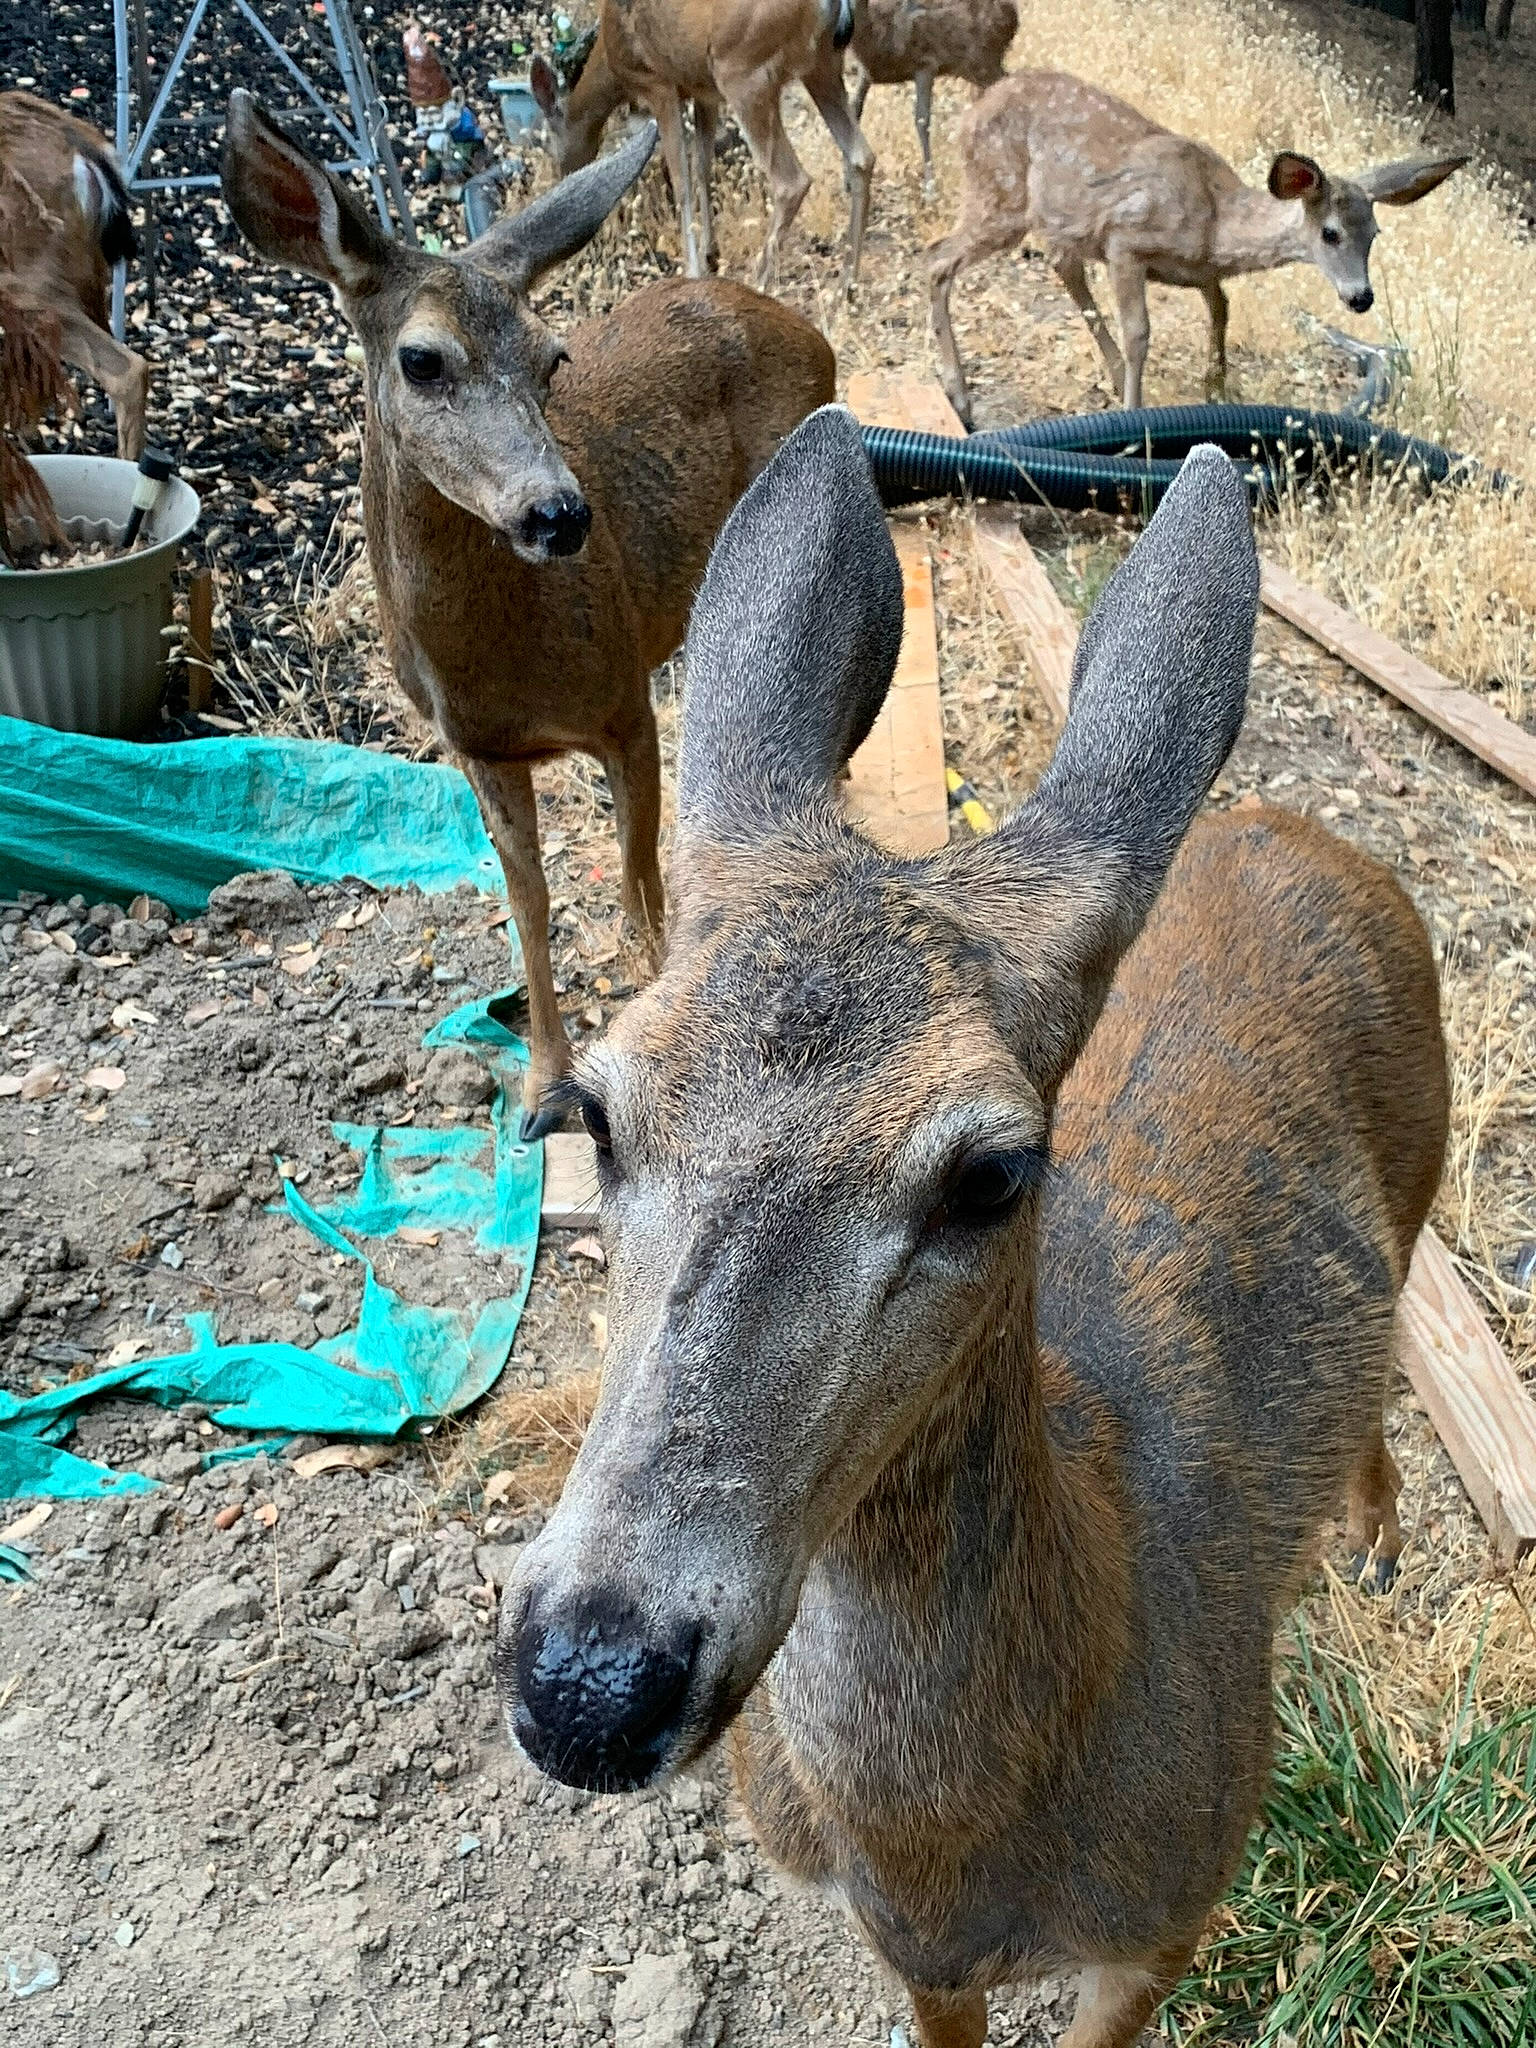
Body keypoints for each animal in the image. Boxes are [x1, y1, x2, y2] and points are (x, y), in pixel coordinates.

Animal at [220, 91, 835, 1130]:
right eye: (422, 360)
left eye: (553, 360)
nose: (558, 513)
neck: (503, 661)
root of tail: (809, 332)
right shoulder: (477, 748)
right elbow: (532, 906)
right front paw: (543, 1089)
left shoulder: (624, 704)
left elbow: (638, 881)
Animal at [494, 409, 1450, 2047]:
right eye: (595, 1112)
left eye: (993, 1172)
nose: (590, 1683)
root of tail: (1290, 823)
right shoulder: (915, 1959)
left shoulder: (1177, 1901)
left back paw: (1376, 1544)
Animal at [528, 0, 874, 290]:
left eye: (549, 146)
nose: (563, 176)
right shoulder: (703, 91)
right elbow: (703, 166)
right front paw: (711, 254)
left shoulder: (657, 83)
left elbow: (681, 180)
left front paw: (692, 269)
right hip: (822, 65)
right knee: (862, 156)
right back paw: (847, 283)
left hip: (743, 71)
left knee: (791, 181)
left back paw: (760, 282)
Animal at [847, 0, 1018, 196]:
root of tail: (1013, 16)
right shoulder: (866, 73)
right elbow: (855, 110)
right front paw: (847, 182)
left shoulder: (926, 64)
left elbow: (922, 120)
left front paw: (930, 188)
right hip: (976, 67)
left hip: (981, 61)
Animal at [928, 70, 1467, 426]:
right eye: (1330, 233)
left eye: (1374, 234)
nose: (1361, 297)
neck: (1215, 225)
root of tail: (969, 115)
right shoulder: (1125, 240)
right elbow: (1140, 332)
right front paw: (1135, 416)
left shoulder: (1202, 273)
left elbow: (1222, 309)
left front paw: (1216, 390)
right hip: (1000, 195)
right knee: (937, 257)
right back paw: (960, 398)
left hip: (1052, 221)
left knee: (1061, 267)